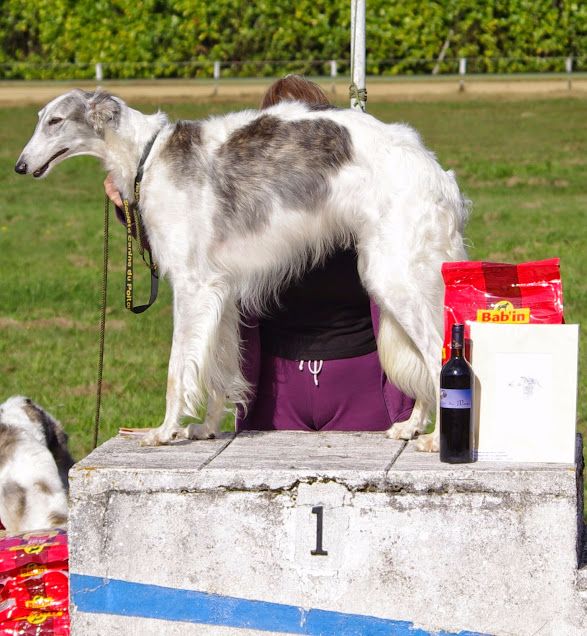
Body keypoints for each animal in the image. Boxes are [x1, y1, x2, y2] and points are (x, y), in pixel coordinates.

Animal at [14, 89, 468, 450]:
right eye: (39, 118)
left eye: (55, 121)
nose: (19, 166)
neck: (148, 156)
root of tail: (438, 173)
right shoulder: (222, 292)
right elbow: (217, 367)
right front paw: (206, 428)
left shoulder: (193, 285)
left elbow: (178, 368)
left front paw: (164, 430)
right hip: (391, 277)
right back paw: (412, 426)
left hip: (397, 277)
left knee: (436, 351)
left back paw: (434, 439)